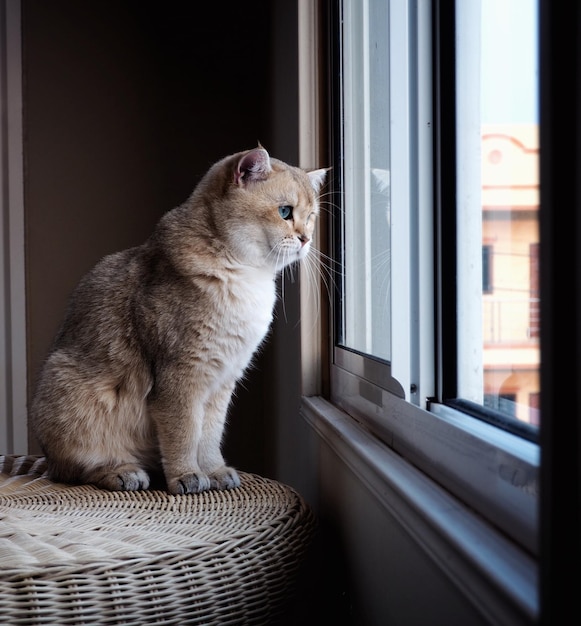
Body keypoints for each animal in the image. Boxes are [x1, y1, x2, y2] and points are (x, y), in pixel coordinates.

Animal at [29, 146, 326, 492]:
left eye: (311, 217)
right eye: (284, 211)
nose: (306, 239)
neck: (247, 277)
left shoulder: (223, 381)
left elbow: (209, 436)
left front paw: (214, 470)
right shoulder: (181, 376)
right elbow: (183, 434)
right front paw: (187, 475)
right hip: (67, 387)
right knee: (76, 469)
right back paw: (122, 471)